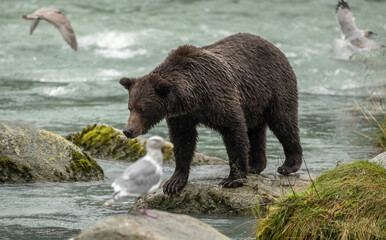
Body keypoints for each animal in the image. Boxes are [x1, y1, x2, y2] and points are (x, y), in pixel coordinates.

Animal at [119, 32, 304, 195]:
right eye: (130, 107)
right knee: (256, 131)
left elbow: (234, 131)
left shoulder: (219, 97)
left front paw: (232, 179)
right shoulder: (182, 116)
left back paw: (289, 165)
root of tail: (274, 47)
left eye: (142, 109)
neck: (194, 97)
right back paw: (255, 165)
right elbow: (182, 141)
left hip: (274, 88)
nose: (128, 131)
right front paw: (174, 182)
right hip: (254, 102)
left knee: (283, 121)